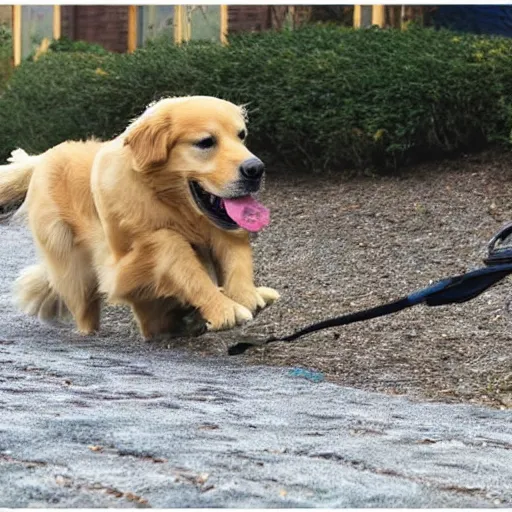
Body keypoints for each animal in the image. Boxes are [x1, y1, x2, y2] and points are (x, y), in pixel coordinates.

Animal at [0, 96, 280, 338]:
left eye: (241, 136)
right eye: (205, 142)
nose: (256, 169)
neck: (167, 202)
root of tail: (42, 158)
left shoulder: (224, 228)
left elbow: (236, 258)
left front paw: (246, 296)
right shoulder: (119, 268)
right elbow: (172, 247)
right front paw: (224, 308)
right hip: (74, 272)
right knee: (92, 314)